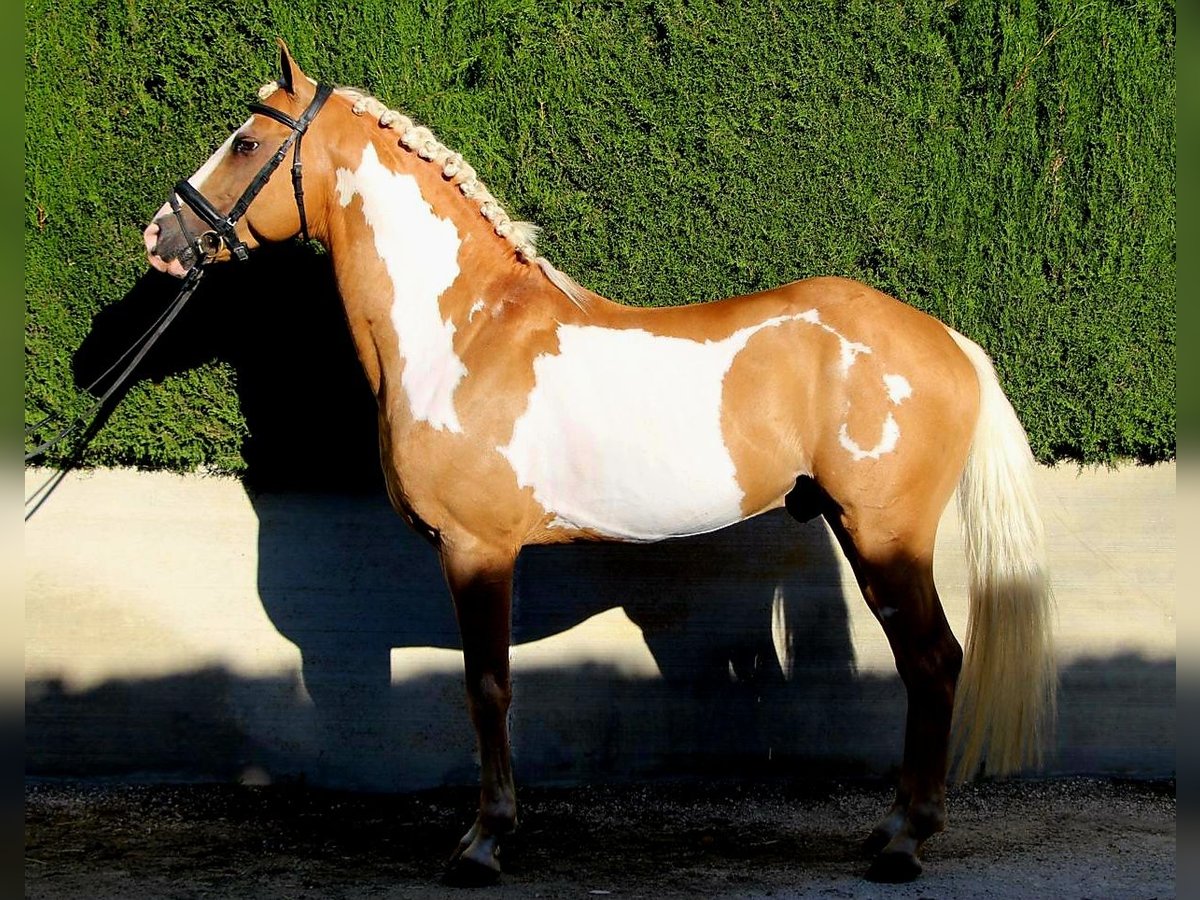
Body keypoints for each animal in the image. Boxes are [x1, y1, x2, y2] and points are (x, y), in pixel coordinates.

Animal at [145, 45, 1056, 883]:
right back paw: (891, 829)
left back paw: (904, 842)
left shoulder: (477, 552)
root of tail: (947, 341)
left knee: (933, 663)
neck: (462, 333)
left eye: (243, 142)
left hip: (887, 537)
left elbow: (487, 688)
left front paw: (483, 843)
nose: (160, 237)